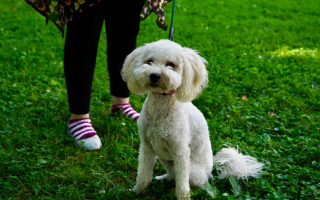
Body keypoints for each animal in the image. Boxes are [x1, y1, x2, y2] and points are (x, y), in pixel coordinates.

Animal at [121, 39, 264, 199]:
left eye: (171, 65)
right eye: (149, 61)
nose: (154, 75)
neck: (161, 106)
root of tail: (210, 175)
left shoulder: (181, 152)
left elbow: (183, 186)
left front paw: (182, 197)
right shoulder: (146, 147)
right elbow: (143, 175)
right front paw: (137, 191)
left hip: (192, 171)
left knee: (197, 186)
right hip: (165, 158)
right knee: (173, 176)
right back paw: (163, 179)